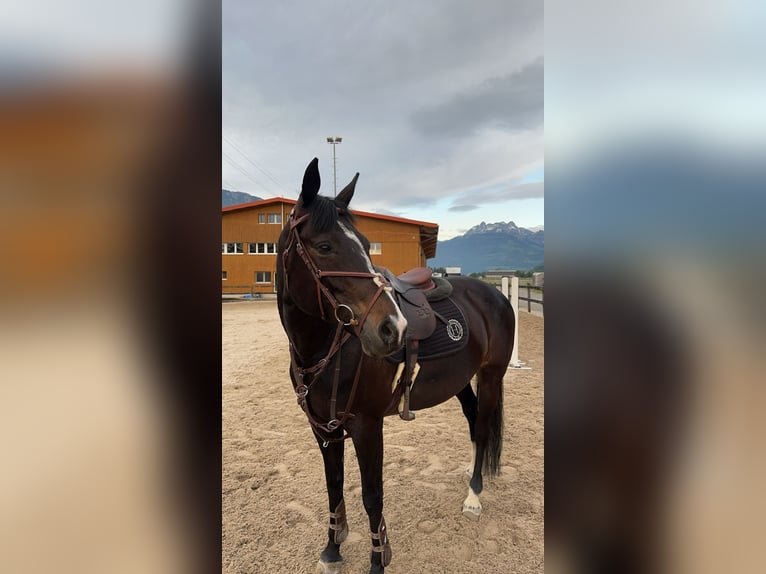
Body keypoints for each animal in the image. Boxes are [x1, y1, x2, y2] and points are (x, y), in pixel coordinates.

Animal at [275, 158, 515, 574]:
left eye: (366, 244)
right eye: (324, 246)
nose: (393, 329)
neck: (324, 349)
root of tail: (494, 294)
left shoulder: (367, 426)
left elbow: (372, 495)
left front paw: (377, 560)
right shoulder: (322, 427)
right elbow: (333, 488)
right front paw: (332, 550)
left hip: (491, 376)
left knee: (483, 429)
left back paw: (473, 496)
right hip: (461, 380)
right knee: (473, 423)